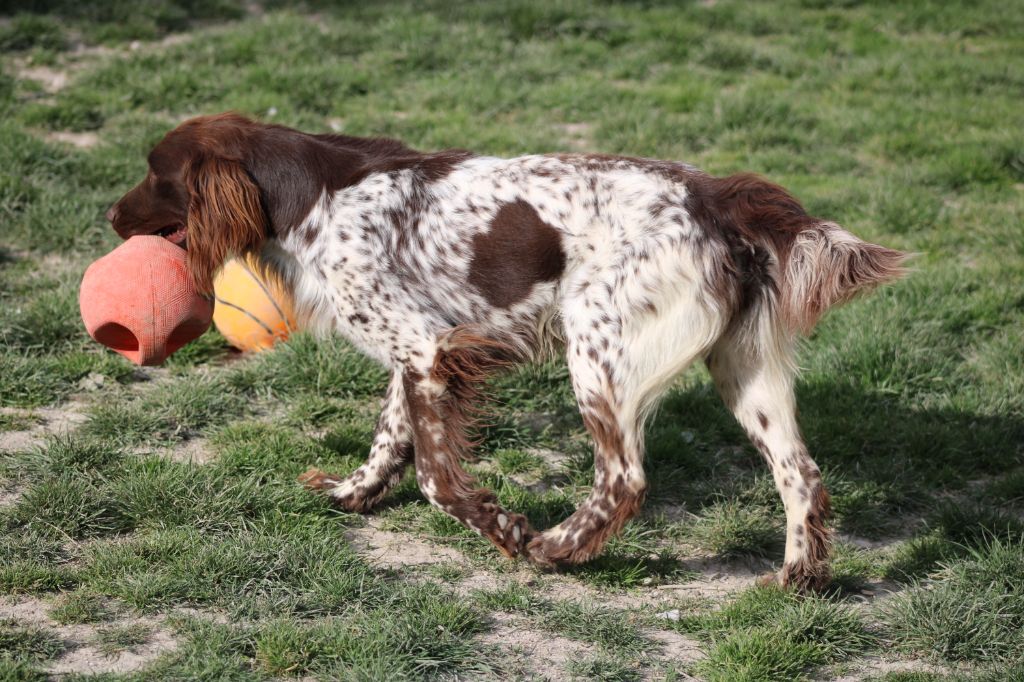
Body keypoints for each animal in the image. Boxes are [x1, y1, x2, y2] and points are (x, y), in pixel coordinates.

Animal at [103, 112, 905, 589]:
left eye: (155, 173)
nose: (107, 215)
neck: (310, 198)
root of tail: (718, 198)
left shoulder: (425, 348)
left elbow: (436, 479)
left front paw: (504, 529)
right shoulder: (418, 353)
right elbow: (389, 441)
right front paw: (349, 496)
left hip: (598, 351)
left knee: (624, 480)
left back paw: (555, 550)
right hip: (743, 370)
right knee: (802, 476)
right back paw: (799, 580)